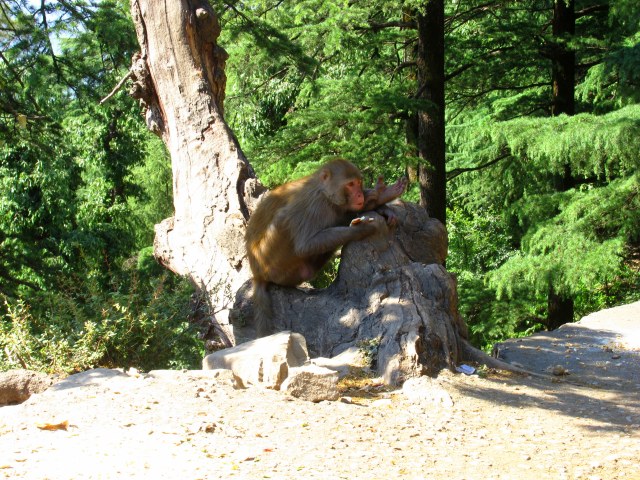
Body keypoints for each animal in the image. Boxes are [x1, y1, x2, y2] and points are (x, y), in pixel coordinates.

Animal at [245, 159, 407, 337]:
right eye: (350, 184)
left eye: (358, 183)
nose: (359, 194)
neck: (324, 193)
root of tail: (257, 274)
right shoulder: (312, 206)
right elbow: (305, 245)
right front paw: (365, 226)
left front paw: (380, 201)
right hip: (270, 260)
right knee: (284, 217)